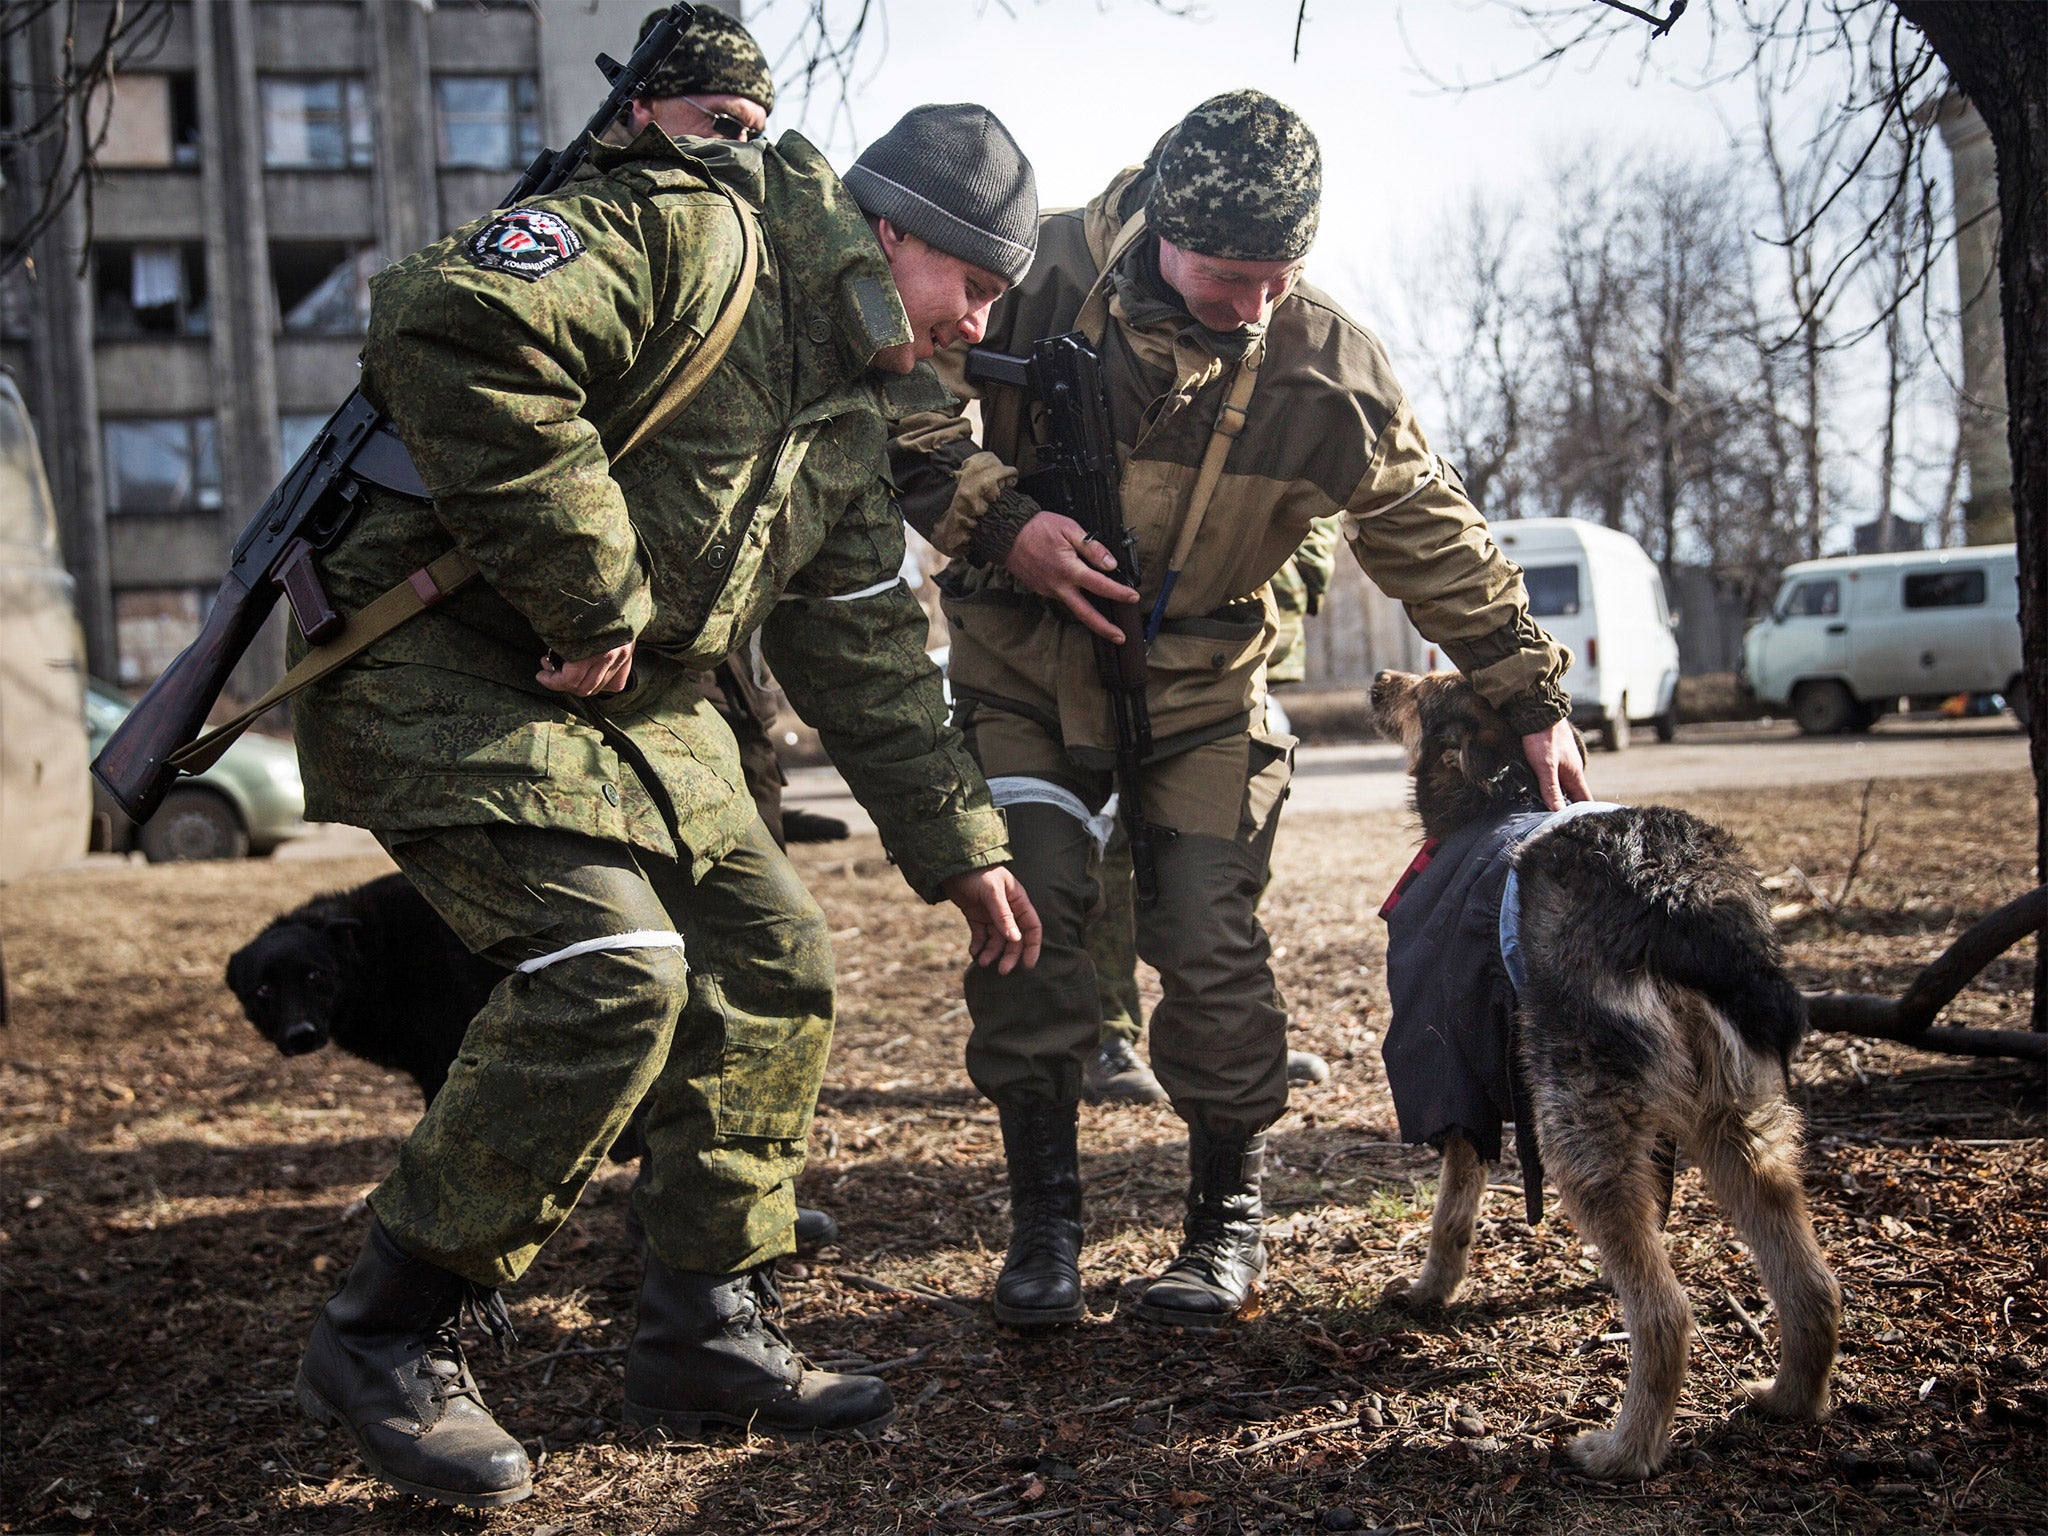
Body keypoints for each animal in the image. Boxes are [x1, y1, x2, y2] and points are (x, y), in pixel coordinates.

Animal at [1368, 675, 1835, 1490]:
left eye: (1424, 690)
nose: (1379, 682)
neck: (1496, 796)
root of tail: (1676, 895)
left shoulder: (1455, 1076)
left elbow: (1451, 1212)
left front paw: (1430, 1293)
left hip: (1579, 1127)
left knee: (1666, 1314)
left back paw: (1622, 1452)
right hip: (1744, 1123)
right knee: (1810, 1284)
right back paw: (1787, 1400)